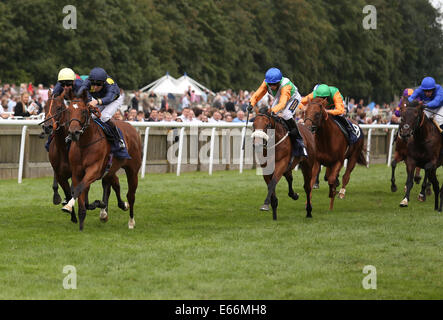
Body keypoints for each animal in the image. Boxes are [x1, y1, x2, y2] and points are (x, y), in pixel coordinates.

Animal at [61, 88, 141, 230]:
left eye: (83, 111)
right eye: (68, 111)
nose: (73, 133)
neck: (85, 143)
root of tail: (132, 128)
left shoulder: (94, 170)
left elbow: (80, 188)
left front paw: (68, 206)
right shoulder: (77, 172)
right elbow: (79, 192)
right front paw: (82, 221)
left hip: (132, 170)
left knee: (131, 195)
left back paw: (131, 221)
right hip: (111, 170)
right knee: (113, 184)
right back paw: (110, 210)